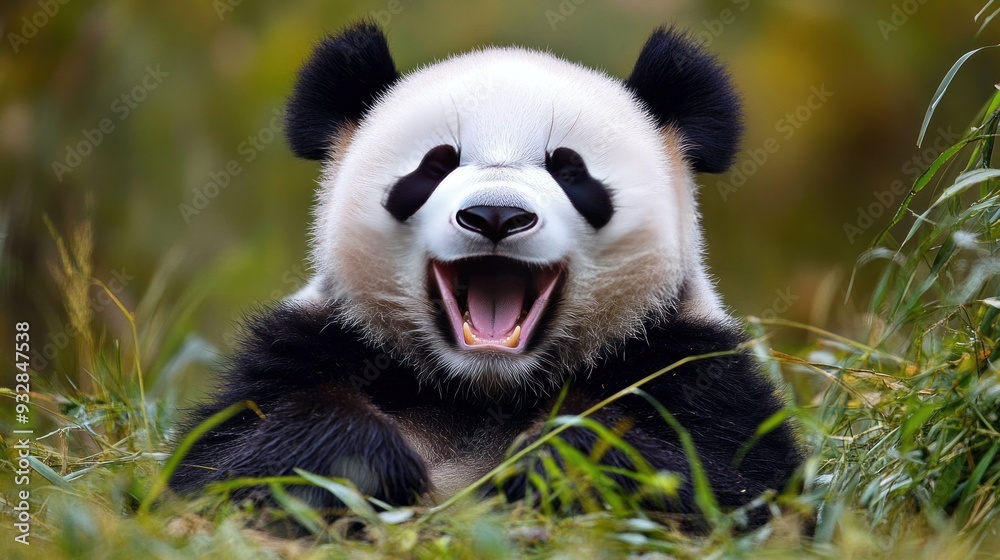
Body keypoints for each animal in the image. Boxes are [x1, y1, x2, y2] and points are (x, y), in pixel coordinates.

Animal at [171, 22, 802, 526]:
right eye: (435, 165)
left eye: (570, 170)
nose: (495, 215)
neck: (482, 389)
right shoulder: (312, 345)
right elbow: (216, 466)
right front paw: (366, 457)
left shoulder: (688, 364)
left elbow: (736, 482)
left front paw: (549, 458)